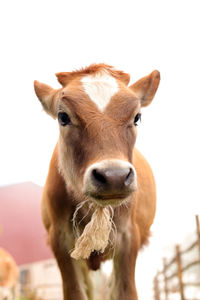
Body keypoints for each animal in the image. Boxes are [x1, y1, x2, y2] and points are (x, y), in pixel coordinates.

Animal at [34, 63, 159, 300]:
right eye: (63, 117)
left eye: (137, 117)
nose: (114, 176)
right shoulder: (60, 239)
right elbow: (76, 292)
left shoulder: (129, 236)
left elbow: (125, 291)